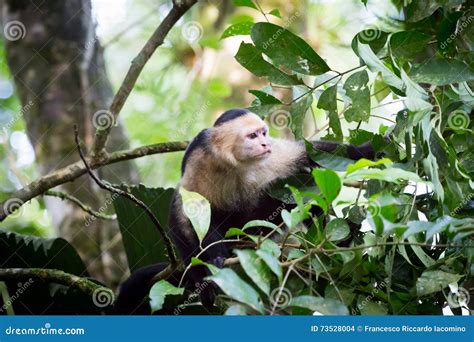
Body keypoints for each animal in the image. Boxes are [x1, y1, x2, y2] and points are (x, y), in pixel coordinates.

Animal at [116, 108, 384, 314]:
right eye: (252, 135)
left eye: (264, 133)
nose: (264, 143)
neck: (234, 162)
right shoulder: (199, 158)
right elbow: (185, 215)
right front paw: (204, 270)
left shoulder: (273, 156)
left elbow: (312, 154)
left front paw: (371, 149)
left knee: (299, 182)